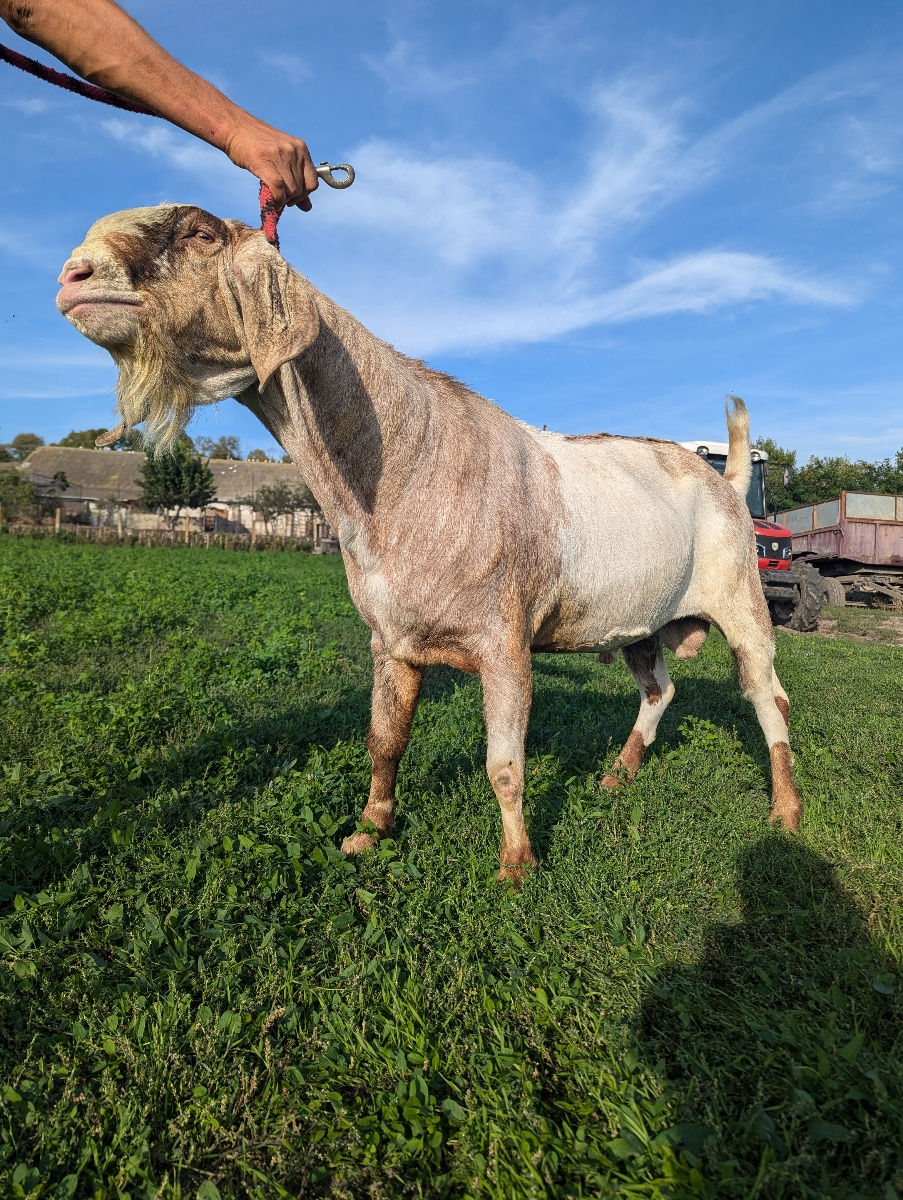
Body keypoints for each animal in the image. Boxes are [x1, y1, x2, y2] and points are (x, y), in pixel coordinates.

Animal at [60, 204, 802, 883]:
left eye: (199, 233)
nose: (73, 275)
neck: (406, 469)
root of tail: (726, 484)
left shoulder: (503, 643)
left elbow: (503, 764)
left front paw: (516, 866)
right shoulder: (391, 639)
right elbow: (384, 741)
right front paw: (369, 831)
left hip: (741, 597)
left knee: (769, 695)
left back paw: (786, 811)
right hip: (639, 620)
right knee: (659, 688)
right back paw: (618, 774)